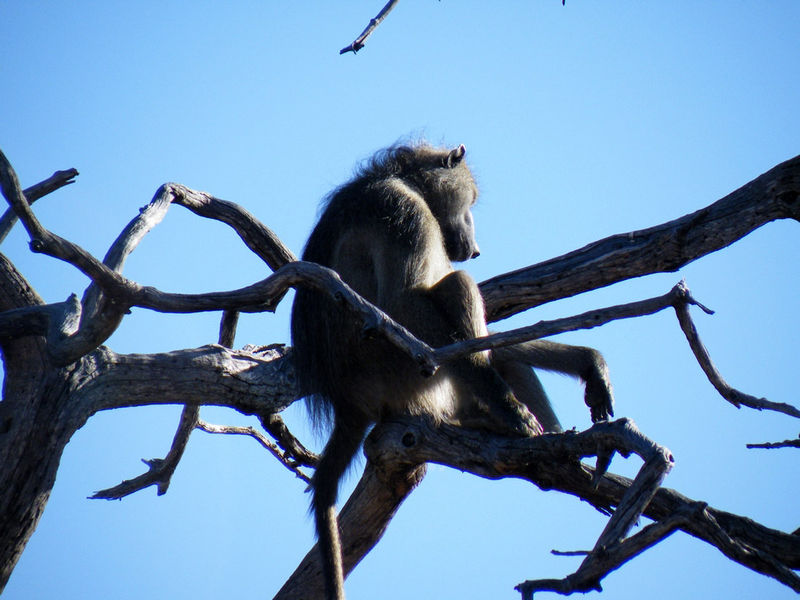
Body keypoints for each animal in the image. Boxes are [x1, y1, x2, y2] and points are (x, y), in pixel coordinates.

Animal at [290, 142, 613, 600]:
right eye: (470, 202)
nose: (476, 249)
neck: (403, 179)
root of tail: (347, 400)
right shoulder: (399, 209)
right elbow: (406, 300)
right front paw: (514, 414)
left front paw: (589, 362)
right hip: (399, 373)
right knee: (459, 286)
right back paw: (505, 419)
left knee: (498, 352)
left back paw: (556, 447)